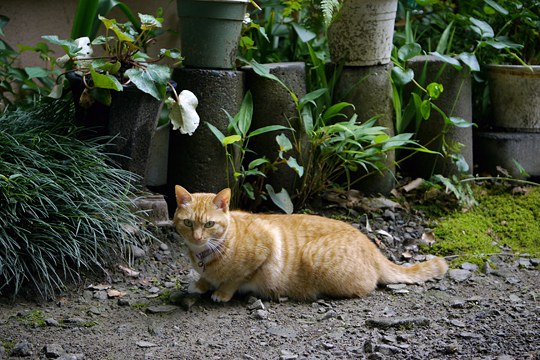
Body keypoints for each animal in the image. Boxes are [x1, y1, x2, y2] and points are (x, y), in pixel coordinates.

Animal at [174, 186, 448, 300]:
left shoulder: (264, 249)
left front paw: (221, 292)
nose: (197, 238)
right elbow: (206, 278)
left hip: (316, 259)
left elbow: (235, 278)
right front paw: (201, 283)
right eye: (188, 223)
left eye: (209, 225)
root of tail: (370, 244)